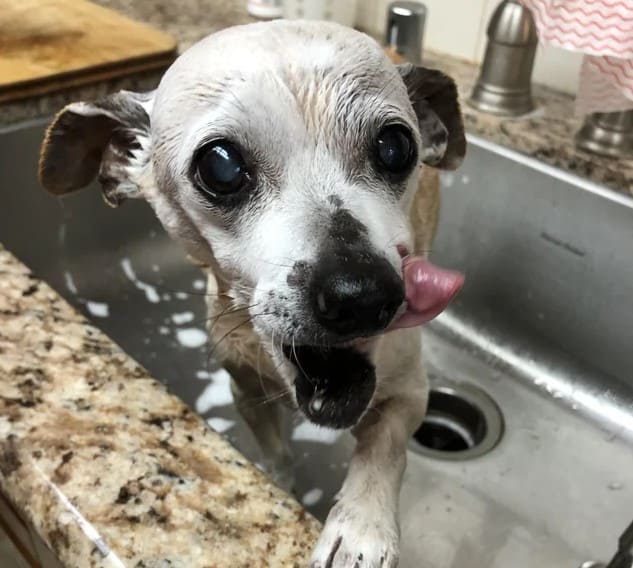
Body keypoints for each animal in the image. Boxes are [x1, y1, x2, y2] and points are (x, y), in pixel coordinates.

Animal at [39, 20, 464, 564]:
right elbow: (276, 450)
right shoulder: (246, 391)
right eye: (219, 166)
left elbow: (382, 450)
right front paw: (280, 484)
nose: (361, 293)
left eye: (395, 146)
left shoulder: (410, 394)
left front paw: (360, 528)